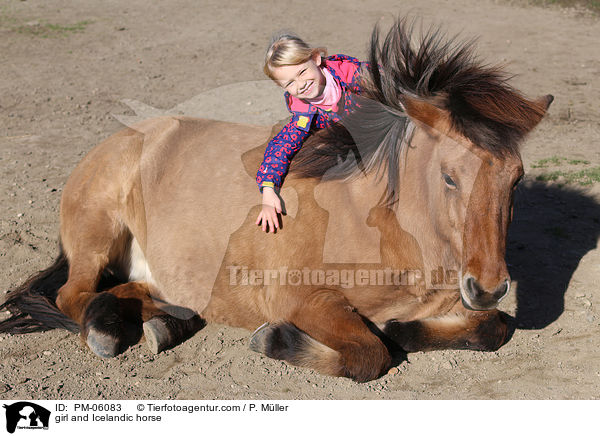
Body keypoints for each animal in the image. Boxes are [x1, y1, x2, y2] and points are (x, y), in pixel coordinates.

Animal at [1, 18, 552, 382]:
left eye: (517, 178)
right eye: (449, 178)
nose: (488, 287)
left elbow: (492, 328)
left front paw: (406, 328)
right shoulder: (301, 298)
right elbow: (368, 354)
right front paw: (277, 339)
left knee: (131, 290)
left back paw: (168, 319)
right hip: (98, 229)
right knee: (75, 295)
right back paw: (114, 329)